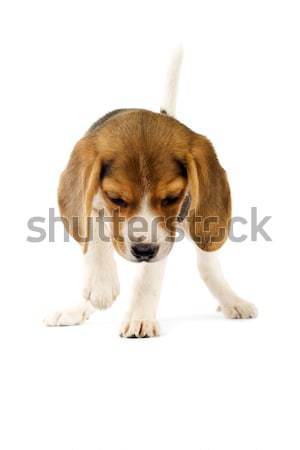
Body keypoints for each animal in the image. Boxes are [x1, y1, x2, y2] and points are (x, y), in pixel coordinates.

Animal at [45, 50, 258, 338]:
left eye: (172, 197)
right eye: (116, 198)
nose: (144, 250)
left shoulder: (164, 237)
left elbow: (147, 278)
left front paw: (139, 317)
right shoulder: (93, 201)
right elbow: (95, 235)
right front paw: (101, 285)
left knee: (207, 266)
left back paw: (232, 301)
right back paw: (79, 307)